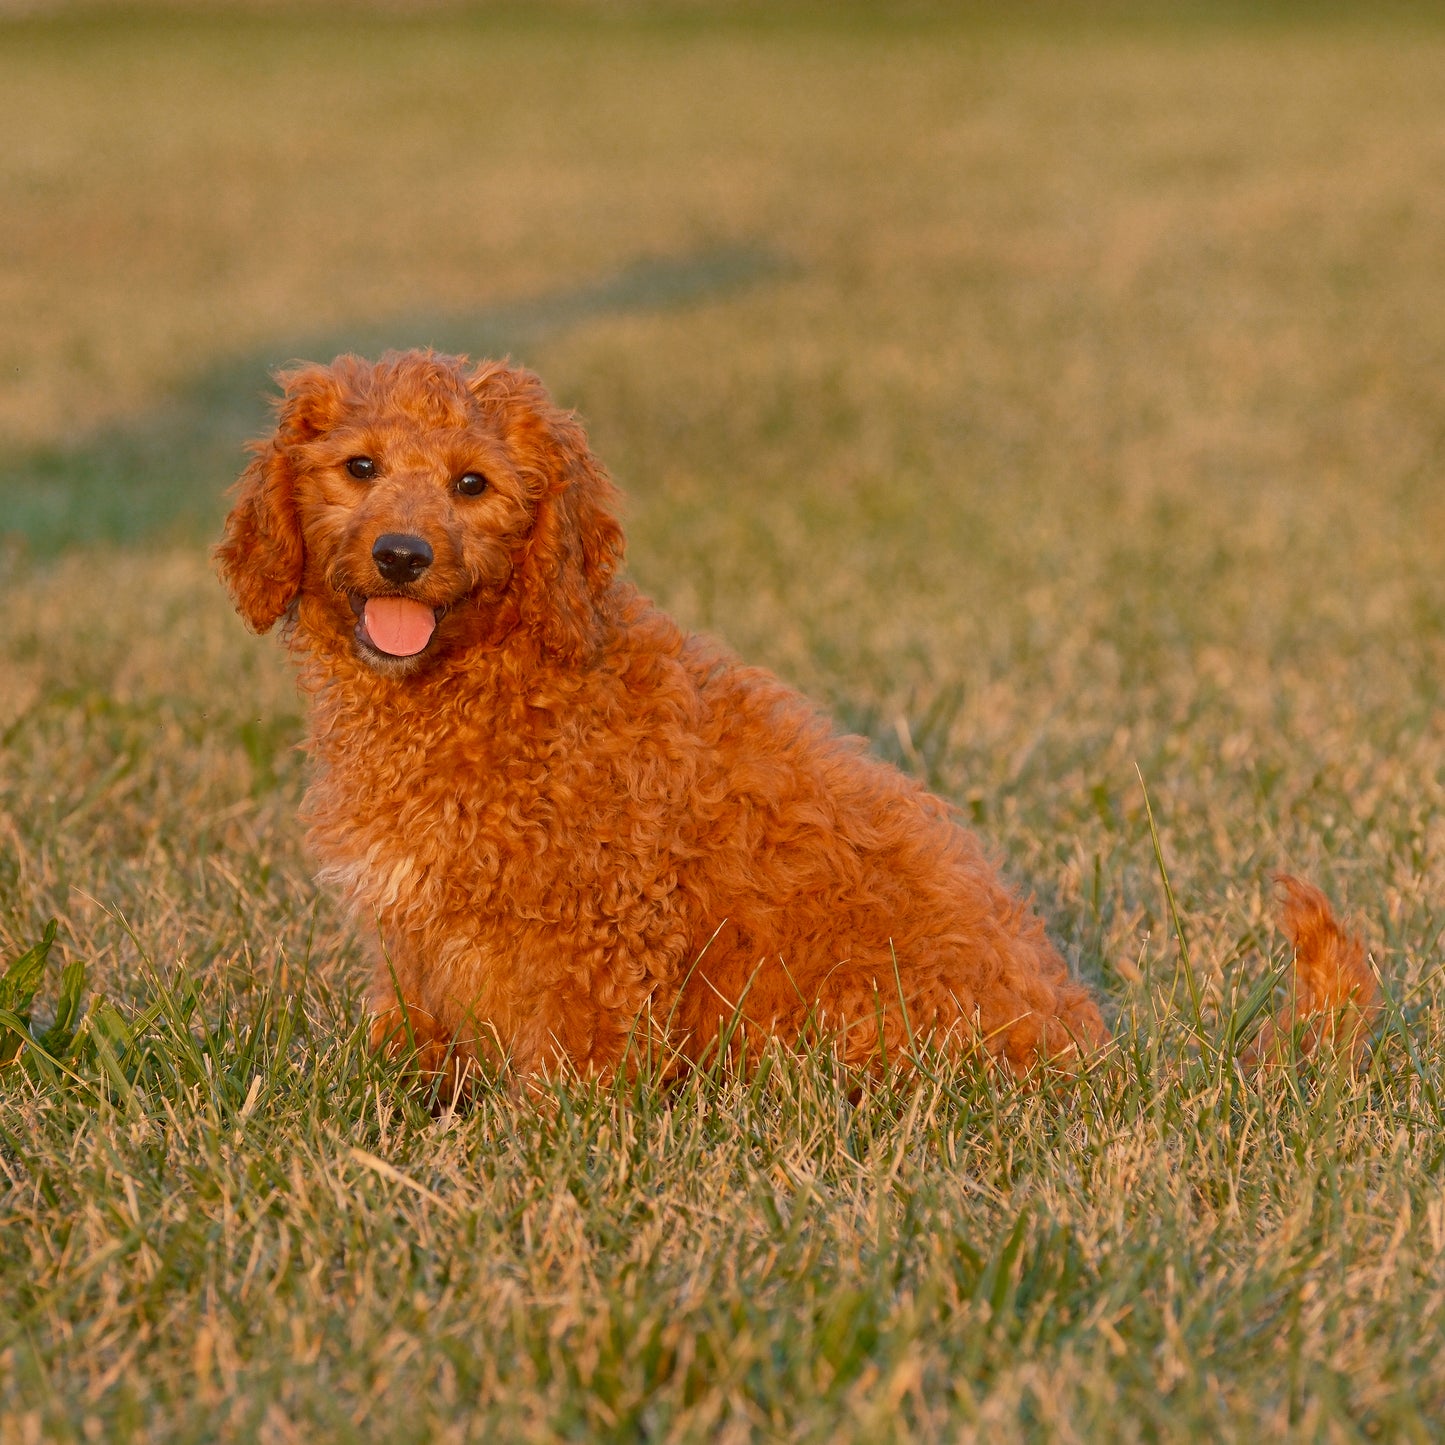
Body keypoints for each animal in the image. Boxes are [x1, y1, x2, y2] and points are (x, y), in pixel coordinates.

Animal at [210, 349, 1375, 1086]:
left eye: (472, 484)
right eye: (359, 467)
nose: (402, 555)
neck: (482, 679)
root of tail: (1094, 1059)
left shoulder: (590, 934)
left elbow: (569, 1079)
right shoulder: (419, 940)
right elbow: (406, 1037)